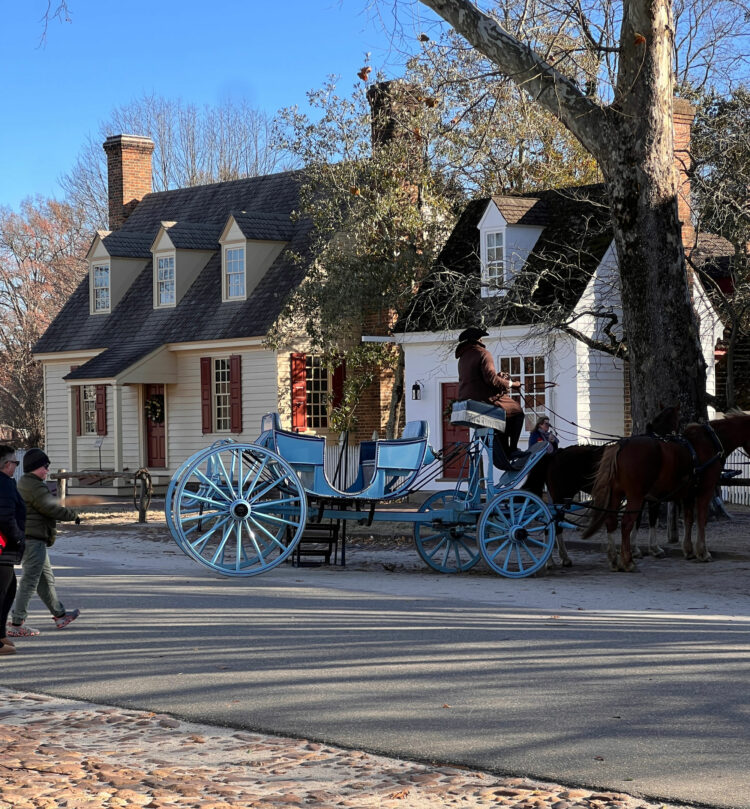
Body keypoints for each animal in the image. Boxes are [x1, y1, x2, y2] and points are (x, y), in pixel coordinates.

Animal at [588, 410, 750, 568]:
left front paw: (688, 550)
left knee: (611, 520)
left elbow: (688, 519)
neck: (711, 441)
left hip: (616, 494)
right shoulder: (705, 491)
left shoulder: (688, 494)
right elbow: (701, 519)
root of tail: (622, 445)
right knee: (627, 522)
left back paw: (614, 559)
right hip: (635, 496)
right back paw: (628, 562)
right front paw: (703, 552)